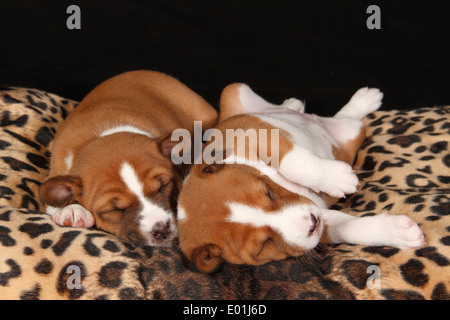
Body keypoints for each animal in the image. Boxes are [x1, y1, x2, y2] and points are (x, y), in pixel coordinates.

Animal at [177, 83, 426, 272]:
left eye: (268, 192)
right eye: (265, 245)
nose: (313, 222)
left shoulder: (259, 137)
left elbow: (294, 161)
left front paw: (336, 178)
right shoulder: (322, 225)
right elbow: (349, 227)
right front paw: (395, 232)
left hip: (233, 90)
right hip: (352, 133)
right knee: (349, 117)